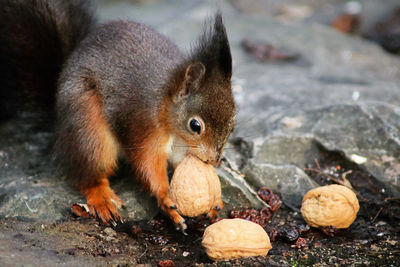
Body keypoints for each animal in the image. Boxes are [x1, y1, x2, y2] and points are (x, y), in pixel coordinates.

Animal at [0, 0, 236, 231]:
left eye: (232, 126)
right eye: (195, 125)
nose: (214, 161)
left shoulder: (183, 150)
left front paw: (214, 202)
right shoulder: (143, 127)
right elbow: (147, 164)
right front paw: (165, 199)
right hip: (89, 130)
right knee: (87, 174)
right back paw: (102, 199)